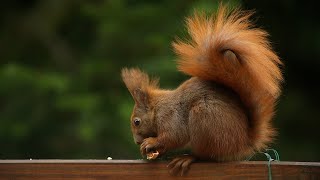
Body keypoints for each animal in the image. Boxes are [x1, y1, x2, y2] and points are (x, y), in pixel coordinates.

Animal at [120, 4, 282, 176]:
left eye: (136, 122)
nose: (137, 142)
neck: (157, 109)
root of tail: (243, 144)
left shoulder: (170, 117)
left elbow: (175, 136)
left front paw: (151, 142)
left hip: (204, 120)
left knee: (205, 155)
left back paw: (187, 157)